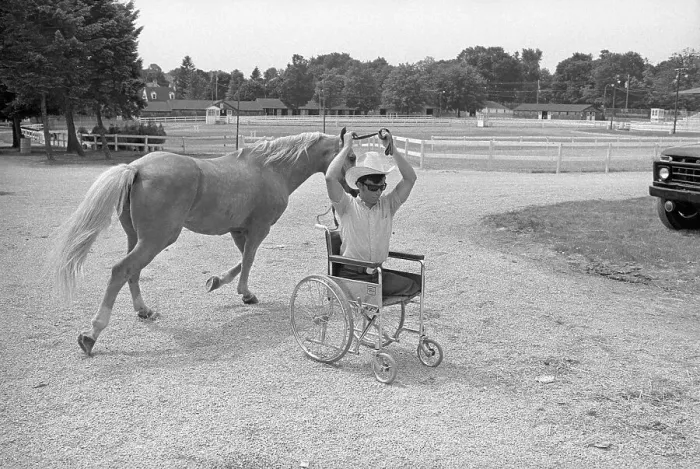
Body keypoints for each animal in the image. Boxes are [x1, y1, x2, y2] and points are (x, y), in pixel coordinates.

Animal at [51, 128, 357, 356]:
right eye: (351, 156)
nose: (353, 190)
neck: (271, 169)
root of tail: (135, 168)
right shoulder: (259, 229)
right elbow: (249, 259)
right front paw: (244, 292)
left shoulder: (239, 230)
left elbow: (242, 260)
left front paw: (218, 282)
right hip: (156, 239)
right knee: (120, 271)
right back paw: (92, 334)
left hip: (136, 238)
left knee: (132, 272)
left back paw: (143, 310)